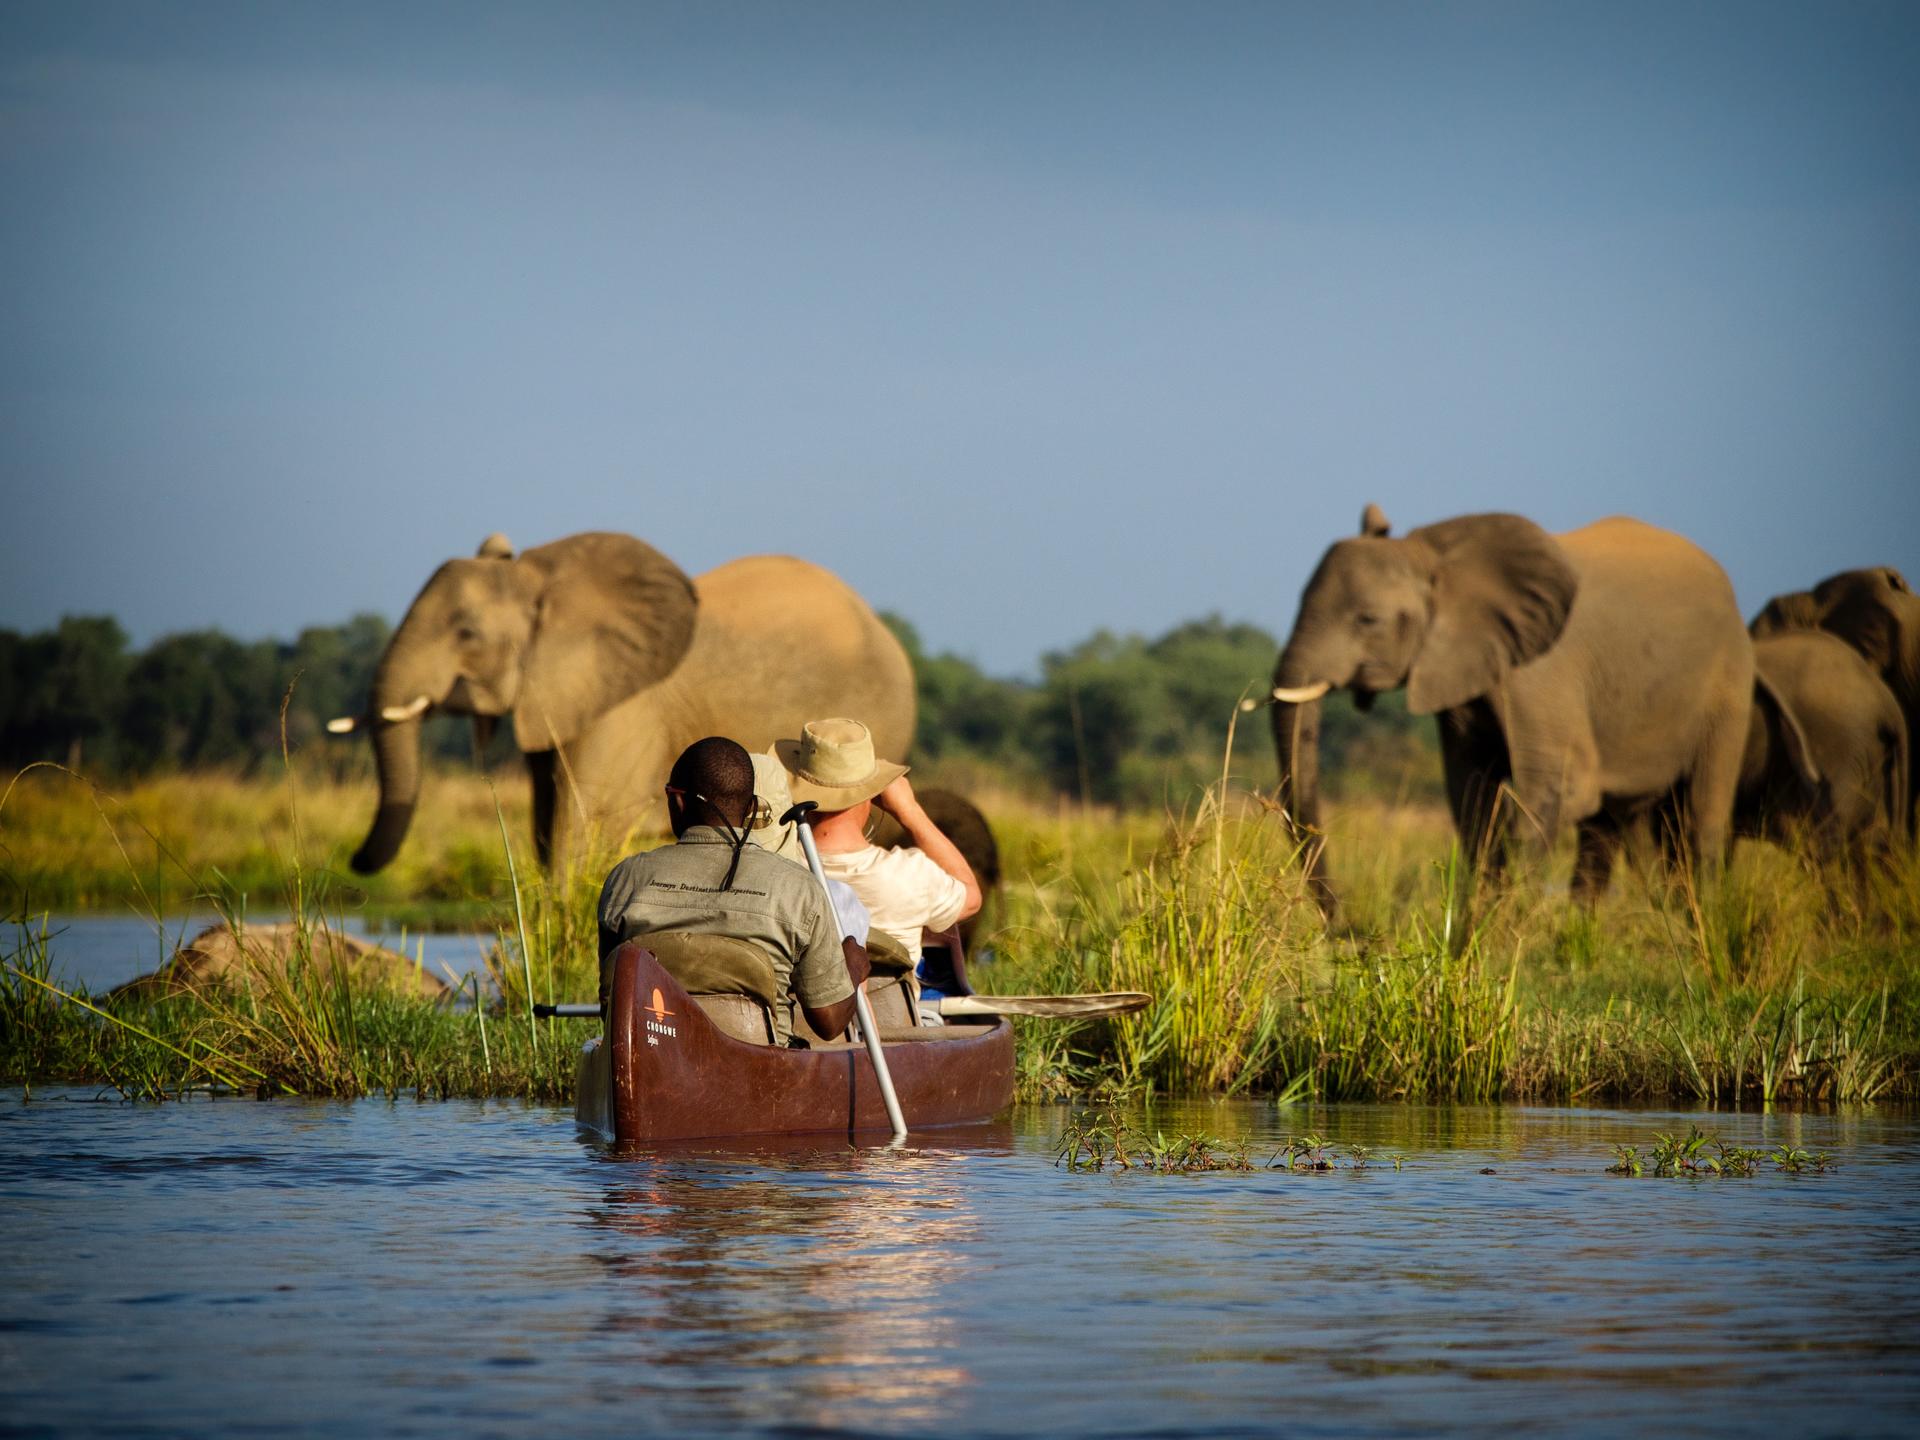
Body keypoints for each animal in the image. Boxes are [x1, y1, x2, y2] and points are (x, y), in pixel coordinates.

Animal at [334, 537, 917, 879]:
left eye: (466, 634)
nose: (353, 860)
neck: (540, 581)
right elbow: (547, 817)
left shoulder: (627, 708)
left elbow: (586, 819)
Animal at [1267, 506, 1758, 913]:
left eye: (1367, 620)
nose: (1342, 926)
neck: (1439, 561)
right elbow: (1472, 800)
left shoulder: (1542, 674)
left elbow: (1557, 790)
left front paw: (1494, 938)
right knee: (1610, 827)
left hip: (1730, 682)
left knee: (1700, 816)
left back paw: (1699, 927)